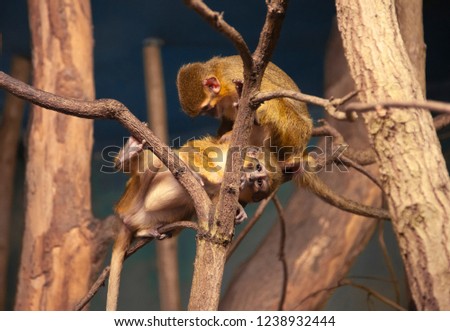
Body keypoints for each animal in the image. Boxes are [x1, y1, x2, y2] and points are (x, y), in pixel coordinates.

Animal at [106, 136, 282, 312]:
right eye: (258, 168)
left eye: (260, 183)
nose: (252, 178)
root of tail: (127, 217)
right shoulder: (225, 152)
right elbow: (191, 150)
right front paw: (221, 179)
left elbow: (214, 208)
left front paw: (238, 207)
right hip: (133, 195)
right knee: (158, 161)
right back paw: (127, 157)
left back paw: (145, 231)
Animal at [176, 55, 390, 222]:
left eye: (207, 108)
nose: (211, 114)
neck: (219, 74)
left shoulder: (232, 77)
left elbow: (263, 93)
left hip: (298, 131)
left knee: (276, 105)